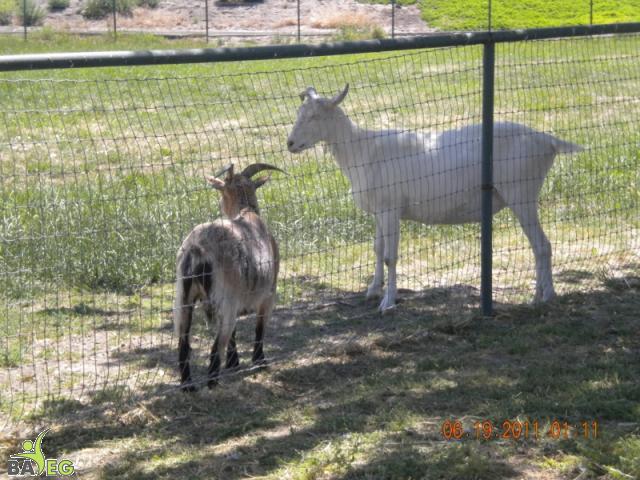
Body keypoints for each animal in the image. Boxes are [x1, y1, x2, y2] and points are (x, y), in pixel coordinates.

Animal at [174, 163, 284, 390]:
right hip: (225, 298)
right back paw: (213, 383)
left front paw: (234, 362)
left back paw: (188, 385)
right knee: (217, 345)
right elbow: (260, 328)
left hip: (183, 297)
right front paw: (259, 361)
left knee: (184, 342)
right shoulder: (268, 293)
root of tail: (197, 250)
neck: (247, 213)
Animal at [287, 84, 583, 311]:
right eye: (300, 112)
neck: (361, 150)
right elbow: (377, 249)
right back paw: (536, 296)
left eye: (315, 116)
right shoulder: (379, 211)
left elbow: (390, 256)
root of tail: (547, 140)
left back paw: (546, 297)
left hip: (522, 193)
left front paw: (388, 303)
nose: (289, 144)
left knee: (543, 245)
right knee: (537, 246)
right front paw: (372, 290)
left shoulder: (390, 208)